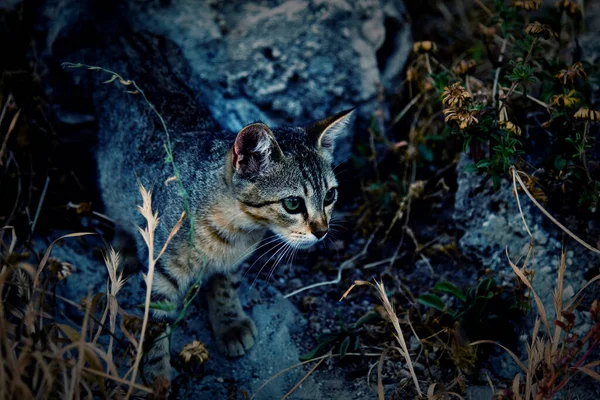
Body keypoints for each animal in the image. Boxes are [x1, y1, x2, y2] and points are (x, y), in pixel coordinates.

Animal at [92, 34, 356, 382]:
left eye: (330, 196)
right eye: (293, 203)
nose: (323, 231)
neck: (236, 230)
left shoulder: (233, 261)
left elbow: (225, 285)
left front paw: (229, 322)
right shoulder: (160, 271)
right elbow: (156, 323)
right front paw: (156, 375)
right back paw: (123, 249)